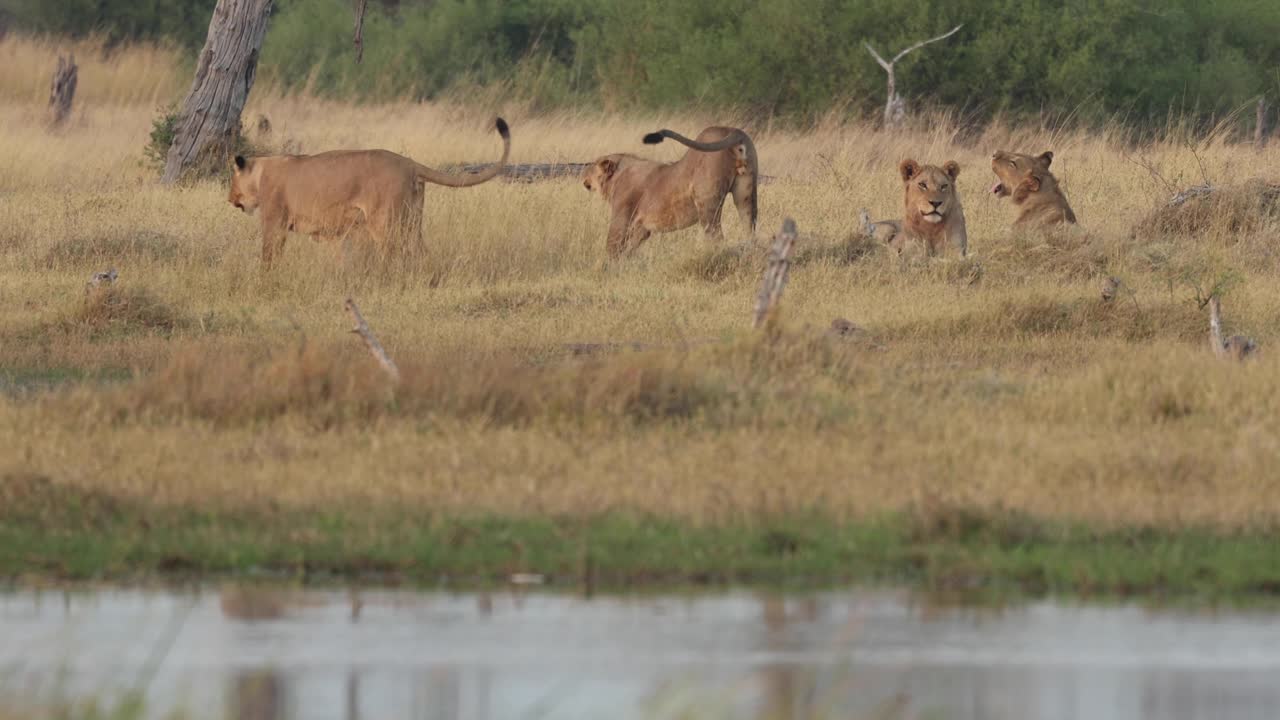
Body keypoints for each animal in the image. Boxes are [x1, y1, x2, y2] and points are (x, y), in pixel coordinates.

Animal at [228, 117, 511, 268]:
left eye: (232, 180)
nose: (230, 199)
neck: (261, 170)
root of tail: (409, 163)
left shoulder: (275, 221)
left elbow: (268, 254)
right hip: (412, 221)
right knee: (420, 251)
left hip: (383, 222)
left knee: (392, 254)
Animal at [582, 126, 758, 256]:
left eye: (593, 164)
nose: (583, 171)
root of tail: (731, 130)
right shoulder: (642, 227)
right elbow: (629, 249)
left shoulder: (621, 217)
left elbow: (612, 246)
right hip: (746, 196)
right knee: (750, 230)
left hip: (707, 204)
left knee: (717, 238)